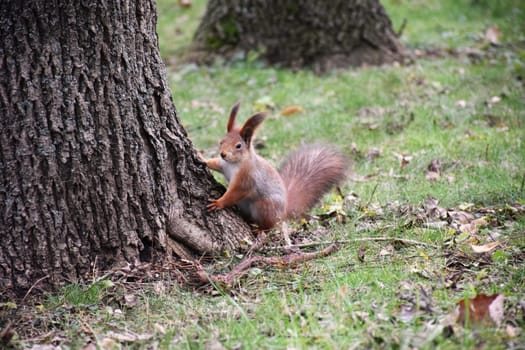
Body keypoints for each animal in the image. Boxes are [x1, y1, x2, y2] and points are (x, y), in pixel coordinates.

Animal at [203, 102, 346, 231]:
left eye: (238, 146)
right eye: (221, 141)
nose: (223, 154)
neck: (234, 163)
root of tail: (283, 212)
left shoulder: (247, 177)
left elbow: (235, 192)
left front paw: (218, 203)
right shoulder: (223, 165)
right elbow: (215, 163)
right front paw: (203, 159)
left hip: (265, 206)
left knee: (270, 225)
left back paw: (260, 229)